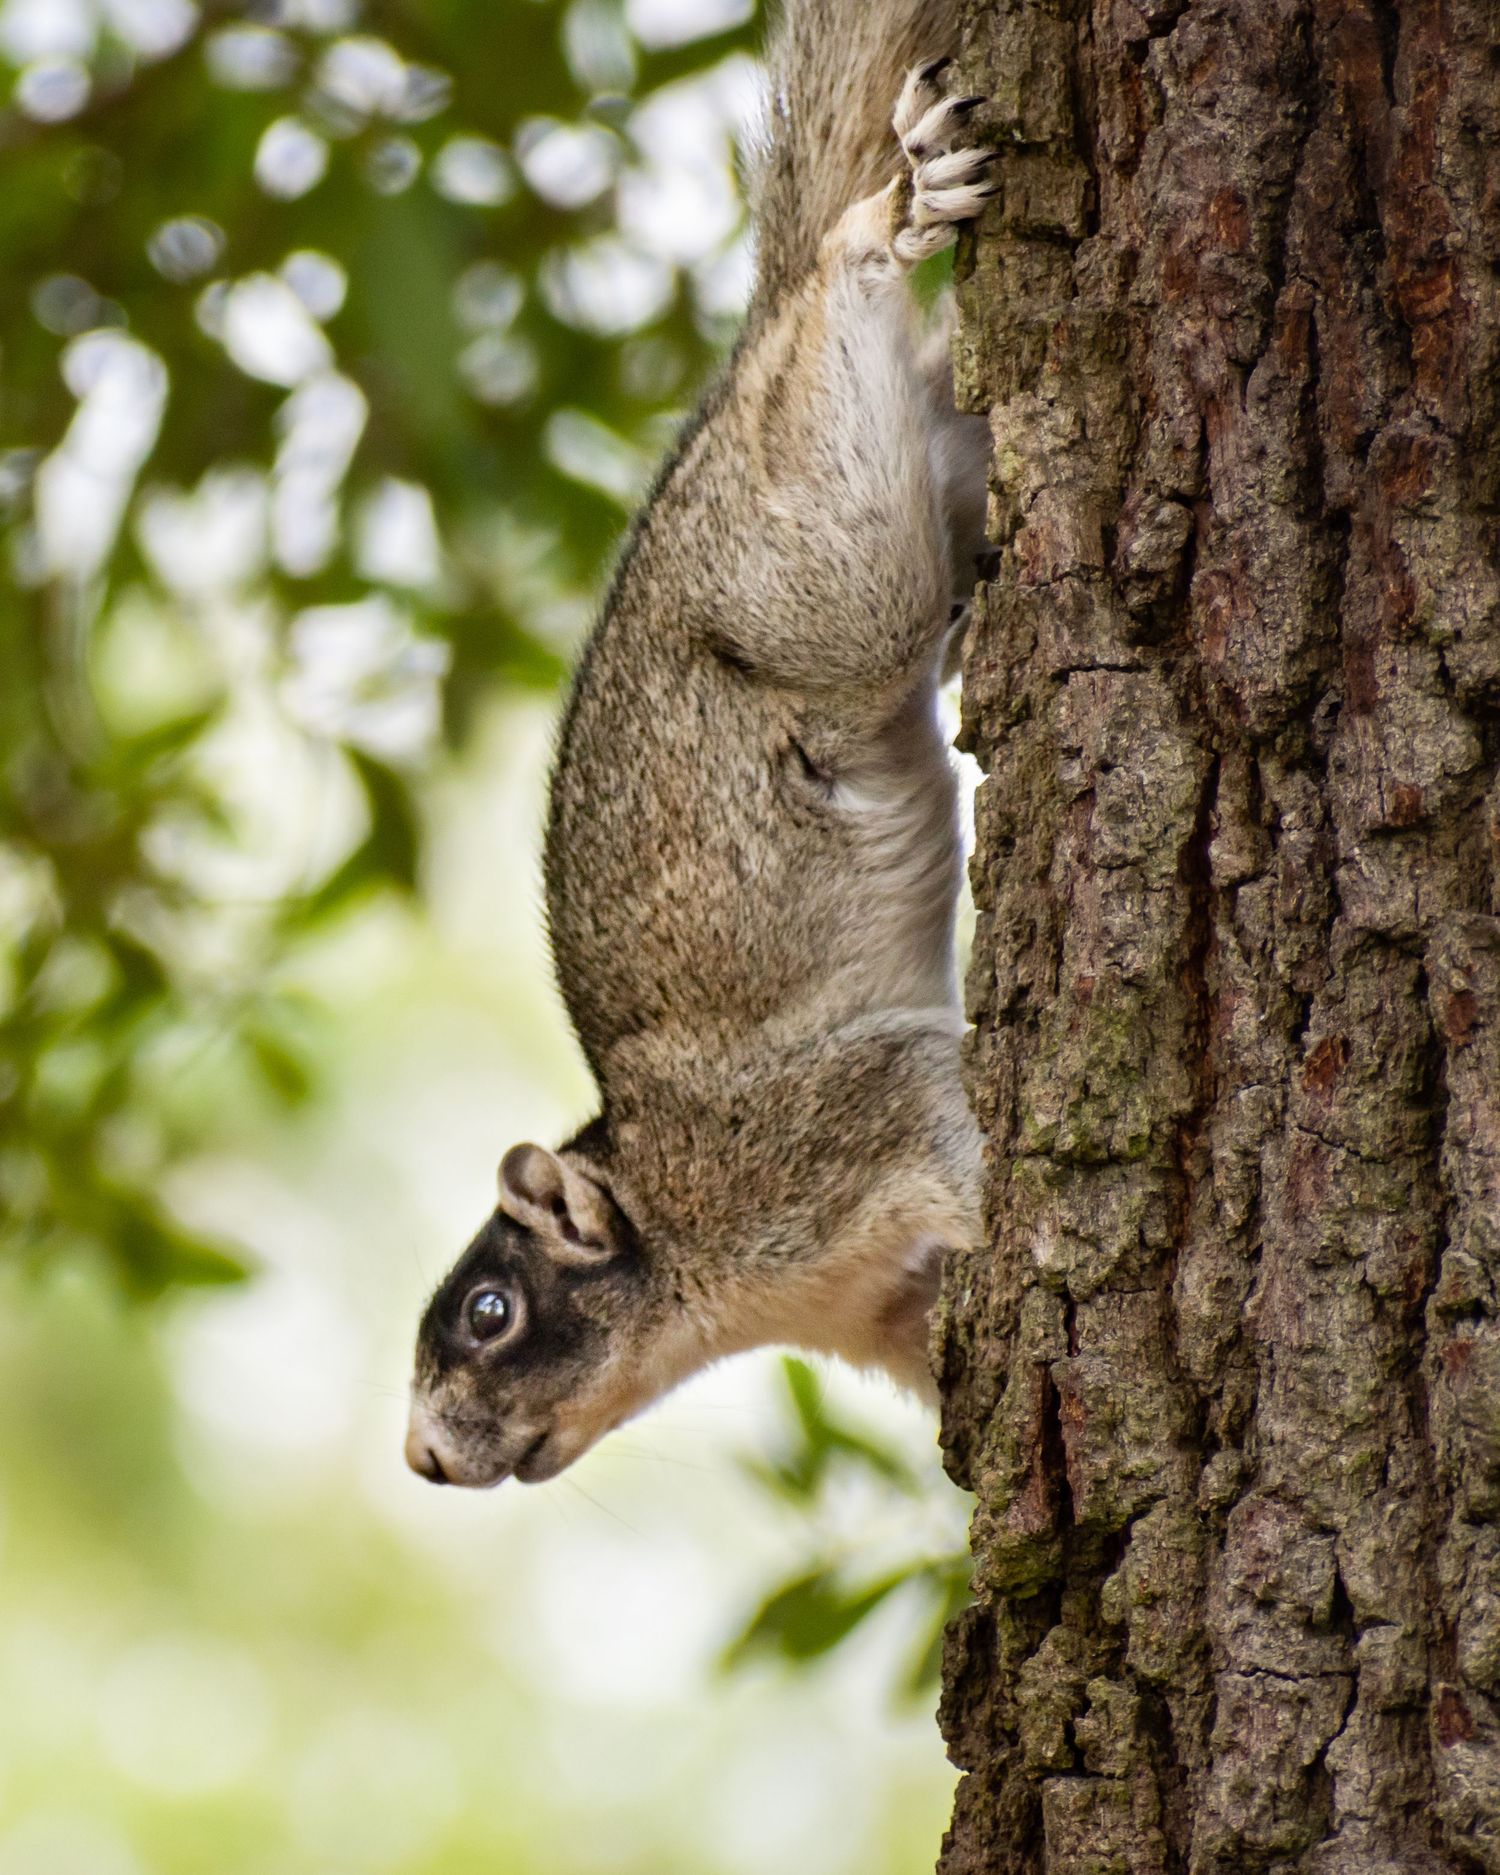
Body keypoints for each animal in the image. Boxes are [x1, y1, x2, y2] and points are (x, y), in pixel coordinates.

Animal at [405, 0, 994, 1488]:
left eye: (490, 1311)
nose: (422, 1460)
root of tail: (742, 381)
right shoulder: (875, 1300)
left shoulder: (813, 1140)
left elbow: (941, 1115)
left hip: (821, 558)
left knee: (841, 297)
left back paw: (890, 216)